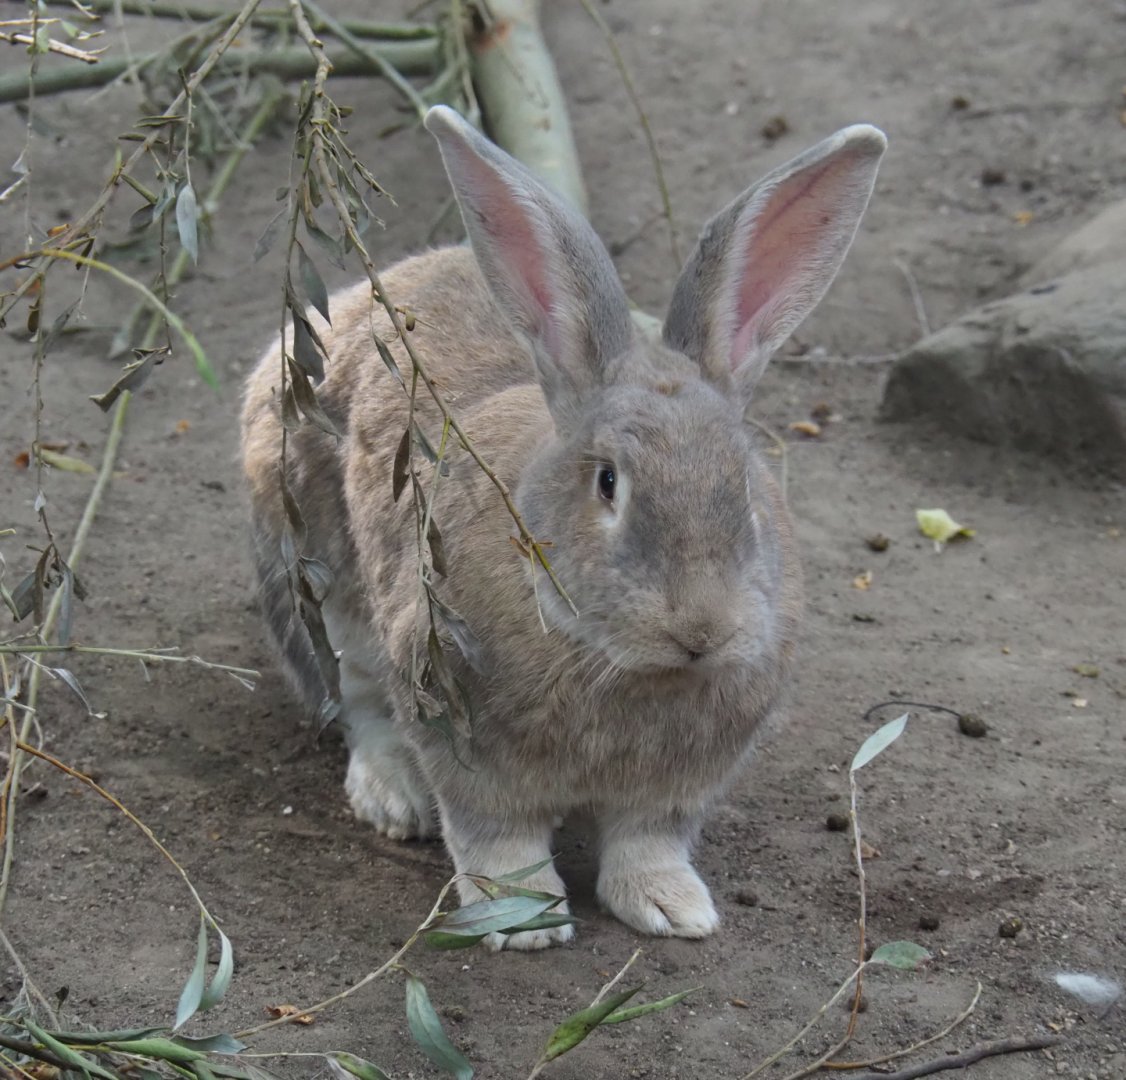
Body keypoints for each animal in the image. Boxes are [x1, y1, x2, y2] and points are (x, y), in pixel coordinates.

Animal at [241, 105, 886, 950]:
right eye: (607, 481)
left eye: (745, 483)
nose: (702, 628)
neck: (619, 664)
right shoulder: (464, 738)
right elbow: (495, 835)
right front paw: (524, 919)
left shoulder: (675, 789)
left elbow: (648, 841)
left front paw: (673, 908)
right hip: (318, 583)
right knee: (358, 701)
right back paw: (394, 799)